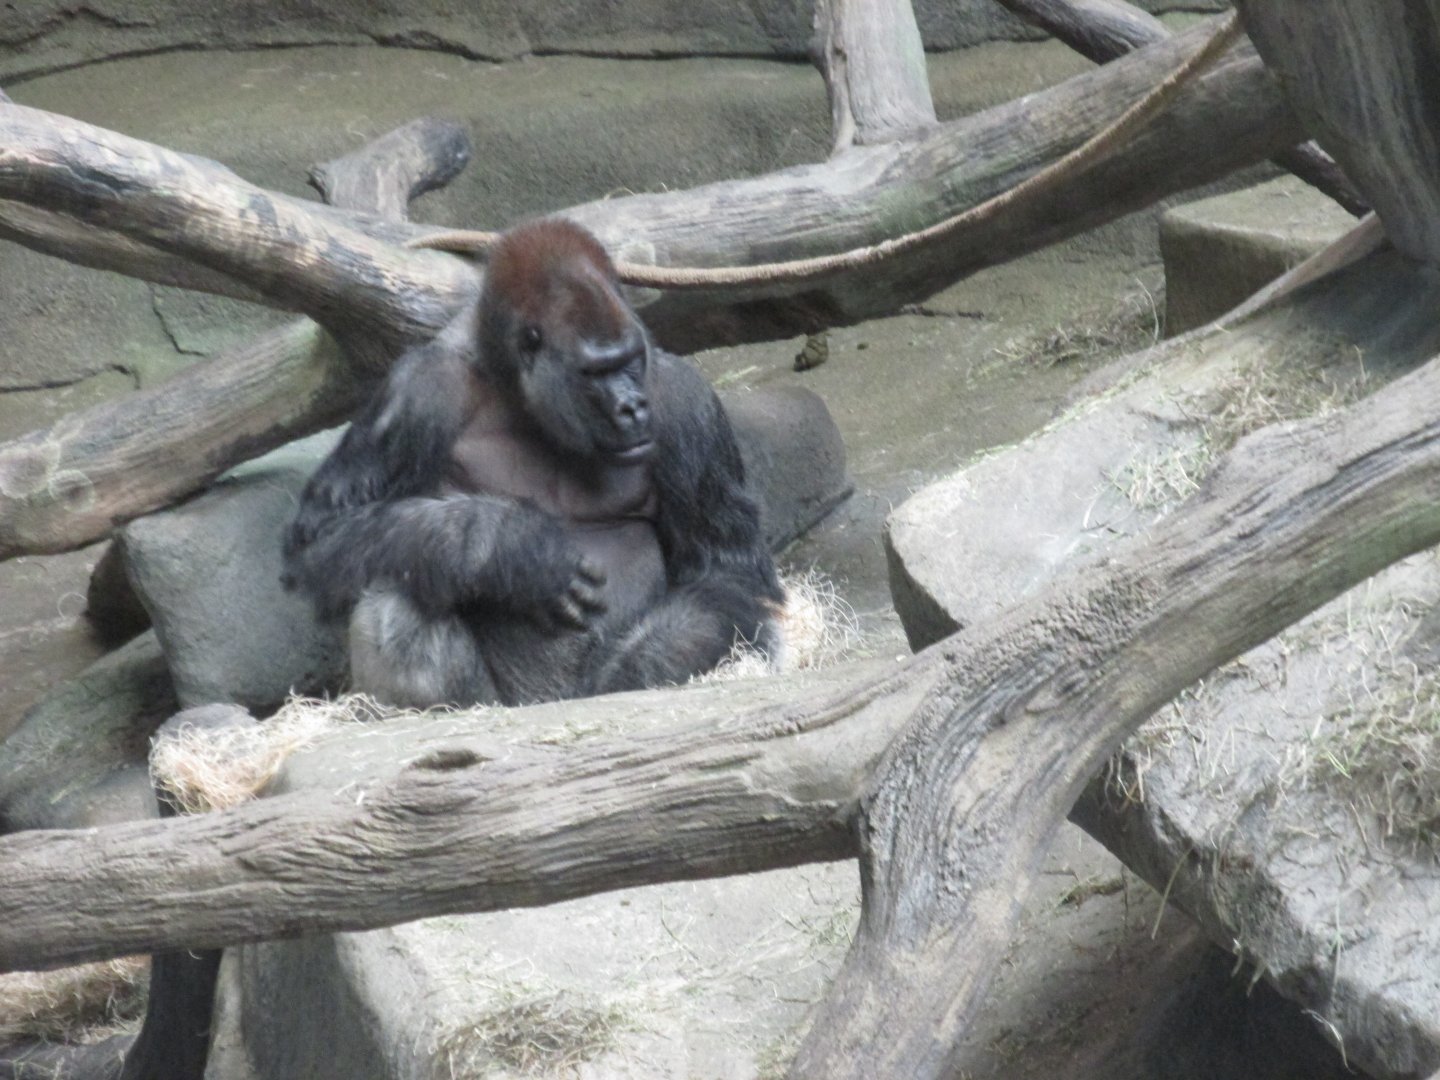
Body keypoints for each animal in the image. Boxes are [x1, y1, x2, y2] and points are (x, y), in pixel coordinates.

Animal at [284, 218, 784, 709]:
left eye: (629, 361)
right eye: (595, 372)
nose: (633, 408)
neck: (517, 390)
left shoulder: (683, 400)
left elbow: (727, 572)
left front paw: (642, 665)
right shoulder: (419, 389)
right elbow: (324, 537)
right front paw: (512, 545)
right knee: (400, 577)